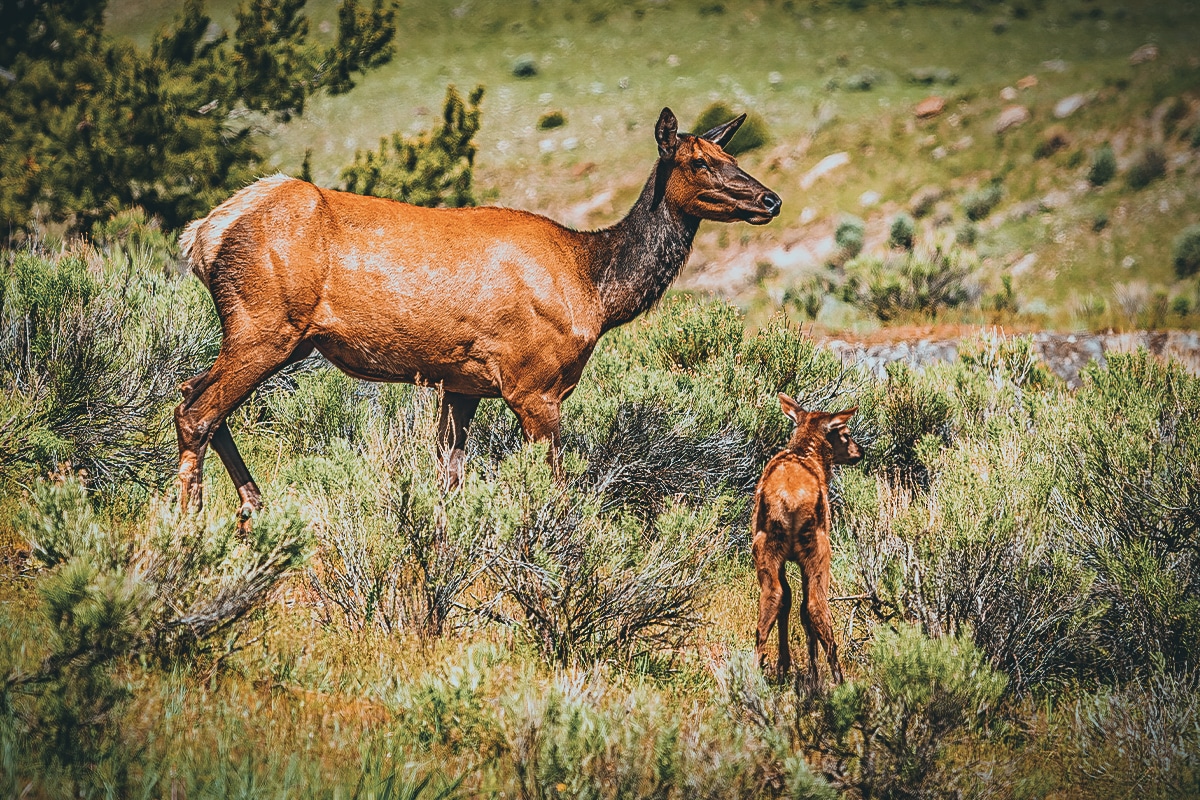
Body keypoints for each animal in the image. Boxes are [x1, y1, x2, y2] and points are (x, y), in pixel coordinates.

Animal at [175, 107, 777, 532]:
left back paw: (252, 509)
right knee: (195, 412)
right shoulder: (534, 384)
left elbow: (450, 480)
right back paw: (187, 526)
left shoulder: (462, 384)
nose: (769, 199)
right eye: (699, 162)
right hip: (265, 324)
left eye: (730, 155)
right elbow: (552, 488)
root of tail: (203, 234)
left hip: (277, 335)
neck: (595, 289)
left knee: (192, 392)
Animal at [748, 395, 864, 695]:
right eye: (845, 434)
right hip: (819, 546)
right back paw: (837, 679)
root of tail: (788, 501)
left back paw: (757, 670)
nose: (859, 452)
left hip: (764, 545)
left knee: (773, 597)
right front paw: (812, 671)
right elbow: (803, 609)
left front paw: (784, 665)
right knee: (815, 604)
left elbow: (789, 600)